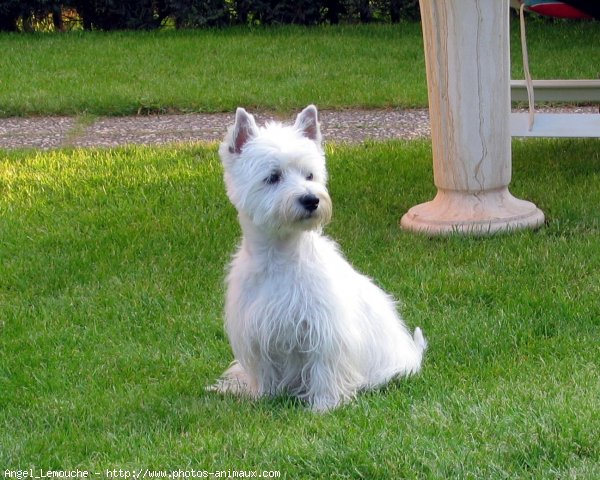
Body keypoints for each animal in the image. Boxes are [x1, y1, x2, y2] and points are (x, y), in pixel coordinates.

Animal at [211, 106, 426, 412]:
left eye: (310, 175)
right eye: (273, 177)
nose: (311, 200)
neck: (280, 257)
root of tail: (412, 354)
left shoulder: (324, 330)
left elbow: (324, 367)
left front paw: (324, 406)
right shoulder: (256, 330)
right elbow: (265, 370)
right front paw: (264, 397)